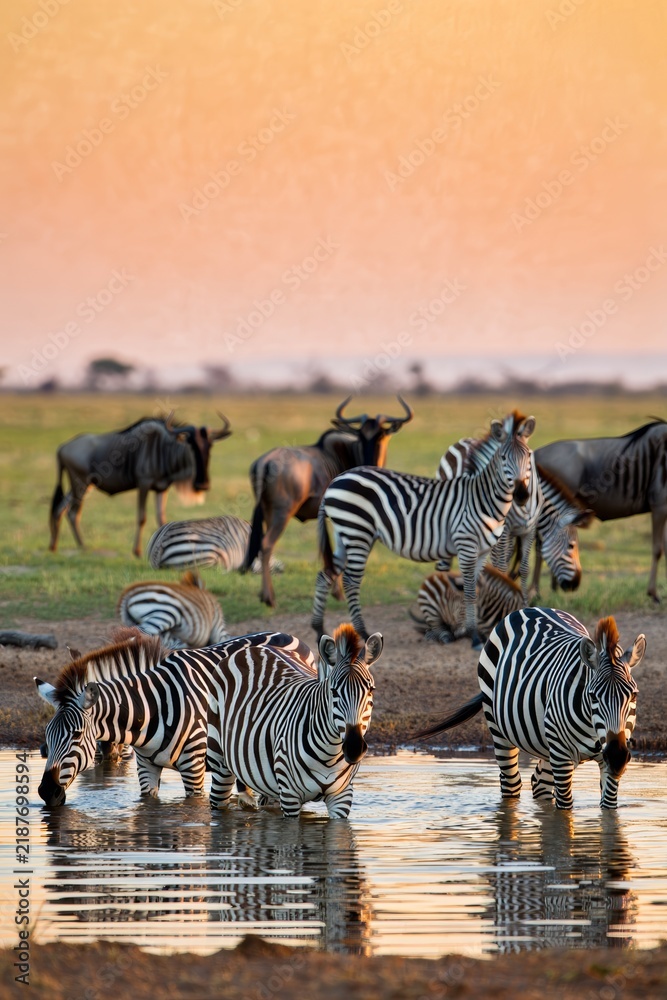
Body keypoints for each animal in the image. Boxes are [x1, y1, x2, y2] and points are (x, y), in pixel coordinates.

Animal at [35, 628, 319, 807]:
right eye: (47, 734)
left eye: (76, 735)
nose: (46, 792)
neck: (151, 708)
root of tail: (292, 636)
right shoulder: (146, 767)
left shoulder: (193, 767)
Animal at [204, 623, 382, 818]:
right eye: (333, 691)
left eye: (371, 690)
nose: (354, 748)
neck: (330, 754)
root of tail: (253, 648)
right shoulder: (290, 797)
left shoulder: (341, 796)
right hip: (219, 761)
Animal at [311, 412, 535, 648]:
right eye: (503, 458)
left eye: (529, 456)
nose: (522, 495)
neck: (482, 498)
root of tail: (336, 480)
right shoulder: (466, 545)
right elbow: (469, 592)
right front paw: (473, 635)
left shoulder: (482, 551)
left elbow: (476, 589)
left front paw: (472, 632)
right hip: (357, 532)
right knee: (350, 581)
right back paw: (363, 633)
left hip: (344, 533)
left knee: (325, 575)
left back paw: (319, 630)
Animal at [414, 607, 645, 809]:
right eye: (593, 696)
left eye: (633, 695)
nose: (617, 756)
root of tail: (529, 608)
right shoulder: (562, 757)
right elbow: (563, 813)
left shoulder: (606, 763)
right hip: (499, 726)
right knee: (511, 782)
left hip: (546, 743)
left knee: (539, 781)